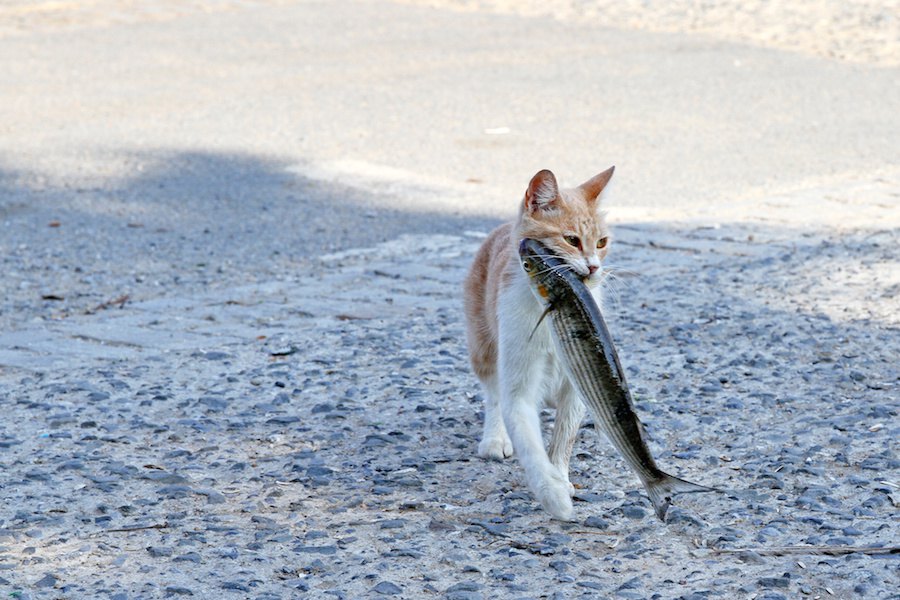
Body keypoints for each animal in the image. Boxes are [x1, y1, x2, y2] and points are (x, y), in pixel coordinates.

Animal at [464, 165, 620, 520]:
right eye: (571, 240)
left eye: (601, 242)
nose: (594, 267)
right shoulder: (519, 384)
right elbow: (530, 445)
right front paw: (553, 496)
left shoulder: (580, 384)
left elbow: (563, 438)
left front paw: (560, 478)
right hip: (484, 347)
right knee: (494, 394)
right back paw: (494, 439)